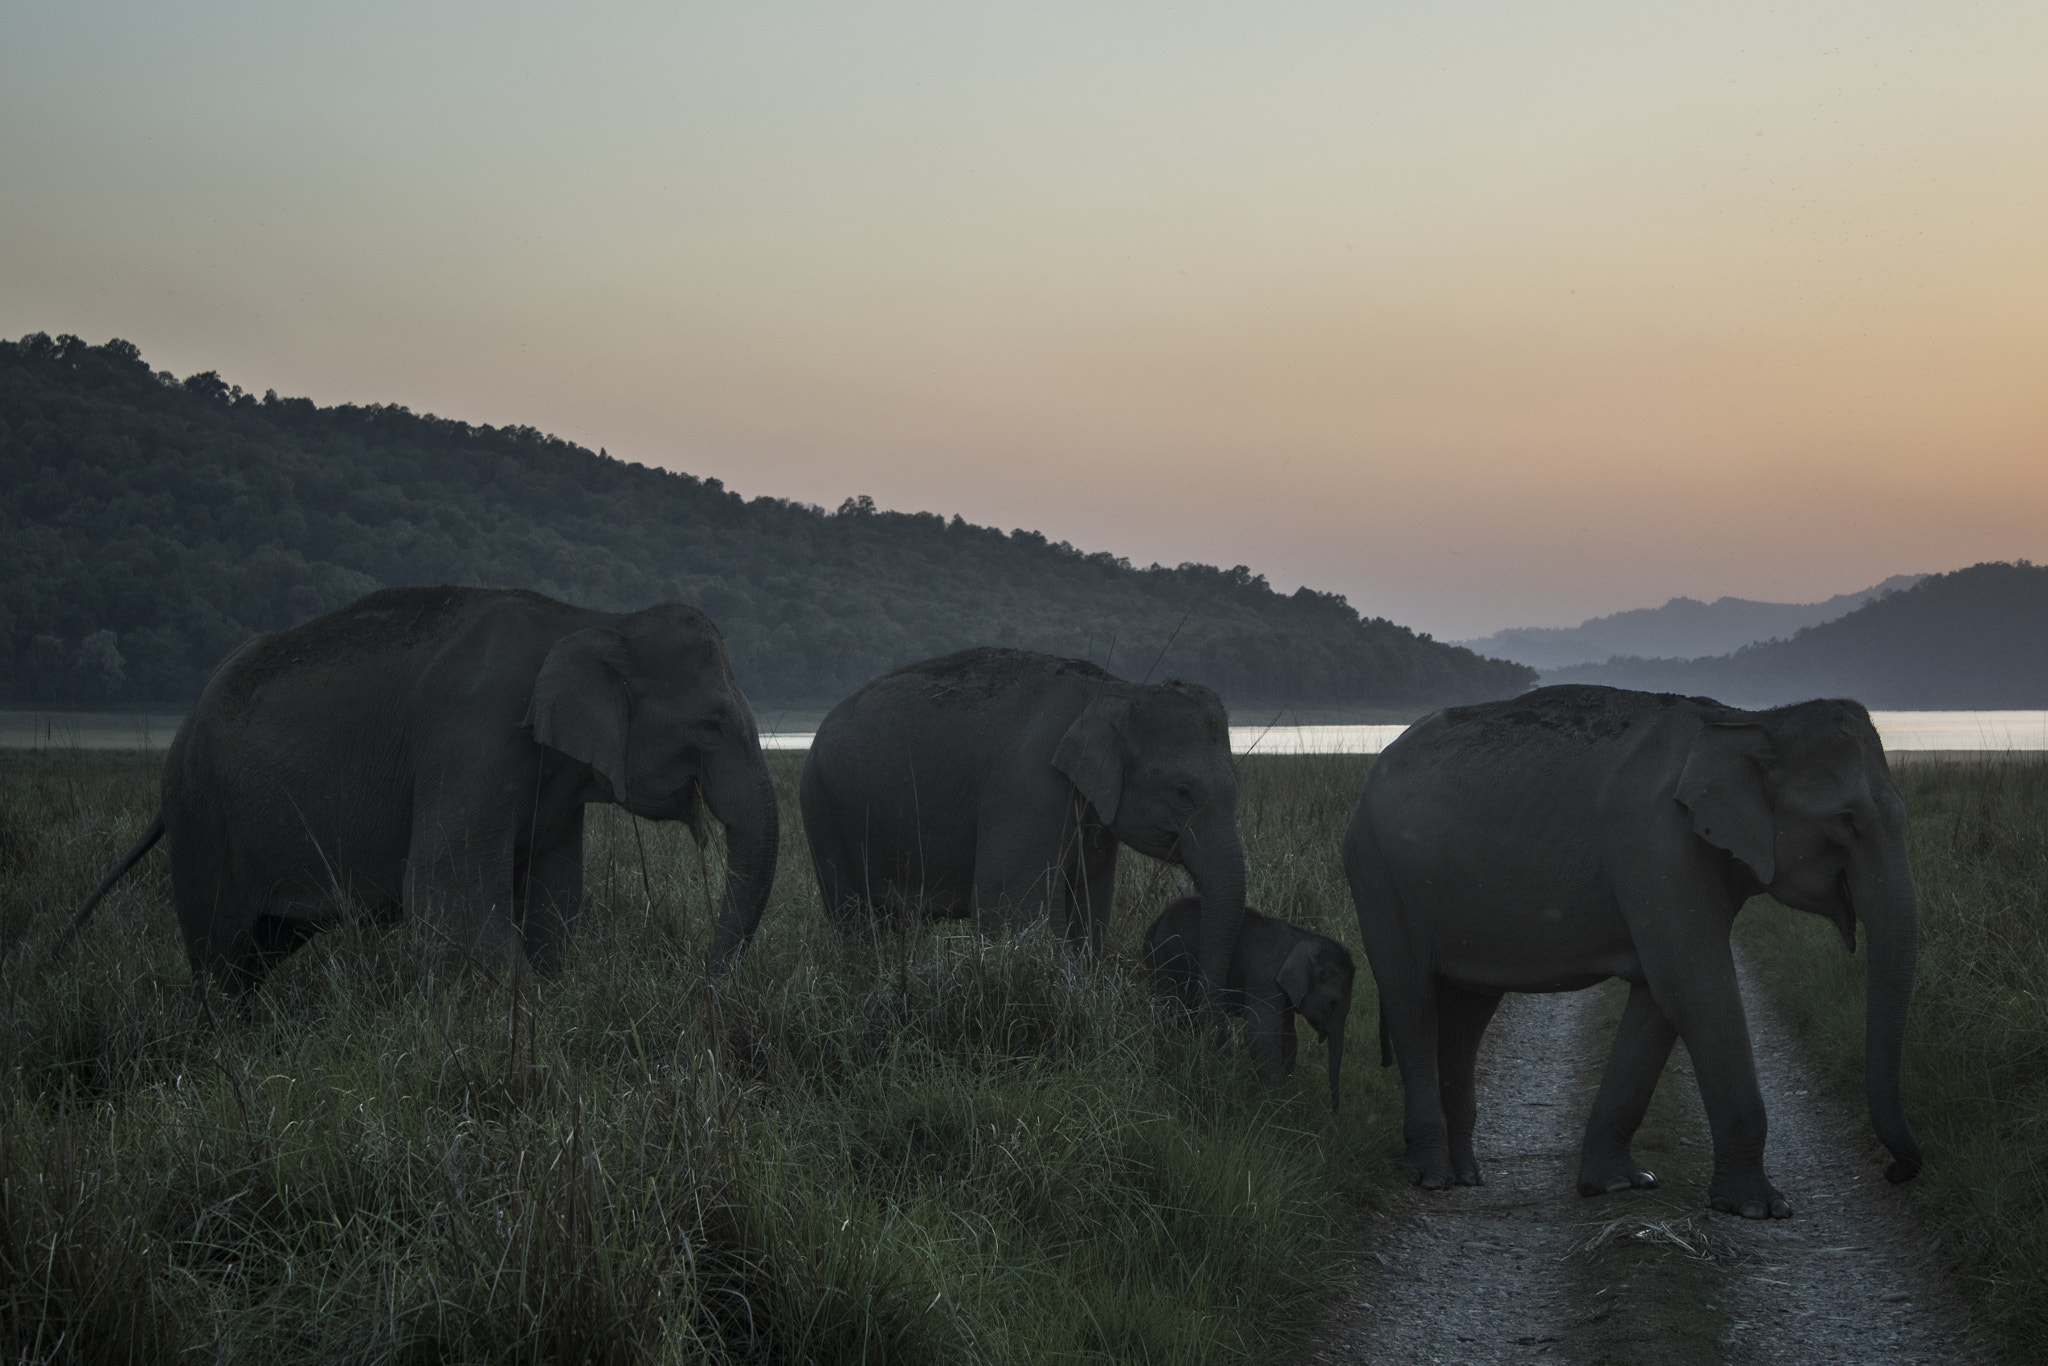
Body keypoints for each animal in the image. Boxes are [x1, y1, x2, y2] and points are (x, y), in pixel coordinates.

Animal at [61, 589, 782, 995]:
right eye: (712, 724)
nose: (701, 984)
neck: (591, 621)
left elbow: (554, 900)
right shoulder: (471, 735)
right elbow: (445, 891)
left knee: (257, 951)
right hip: (202, 815)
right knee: (220, 955)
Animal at [798, 647, 1245, 1011]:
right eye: (1183, 792)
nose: (1205, 1020)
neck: (1116, 689)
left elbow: (1091, 904)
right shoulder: (1029, 787)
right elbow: (1009, 905)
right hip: (822, 811)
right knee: (853, 917)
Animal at [1146, 897, 1351, 1114]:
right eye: (1332, 1003)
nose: (1333, 1112)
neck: (1302, 937)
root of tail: (1155, 924)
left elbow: (1288, 1035)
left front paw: (1285, 1093)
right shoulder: (1264, 978)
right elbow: (1260, 1033)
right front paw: (1271, 1101)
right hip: (1171, 961)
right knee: (1172, 1013)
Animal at [1343, 684, 1916, 1220]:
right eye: (1846, 821)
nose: (1896, 1171)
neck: (1748, 722)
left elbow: (1661, 997)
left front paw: (1621, 1185)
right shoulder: (1656, 844)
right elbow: (1693, 985)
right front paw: (1761, 1208)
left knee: (1468, 1010)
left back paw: (1465, 1176)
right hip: (1377, 873)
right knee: (1410, 996)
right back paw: (1432, 1177)